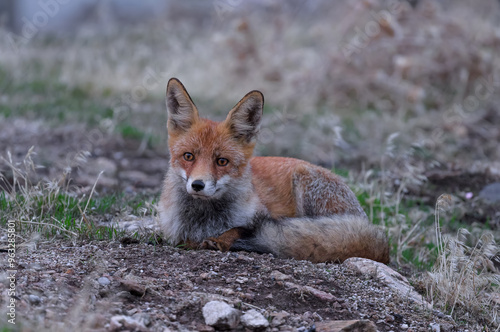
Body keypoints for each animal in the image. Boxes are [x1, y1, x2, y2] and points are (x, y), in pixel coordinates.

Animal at [160, 78, 390, 264]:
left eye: (222, 161)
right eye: (188, 156)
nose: (198, 185)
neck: (204, 220)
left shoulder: (259, 216)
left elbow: (239, 229)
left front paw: (220, 241)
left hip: (306, 184)